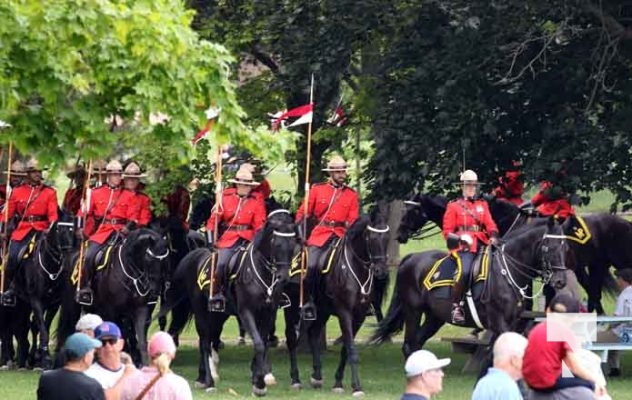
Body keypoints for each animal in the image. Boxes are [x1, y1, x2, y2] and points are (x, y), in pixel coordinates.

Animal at [57, 228, 169, 362]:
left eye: (165, 259)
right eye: (149, 257)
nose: (155, 289)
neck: (130, 274)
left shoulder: (141, 310)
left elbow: (141, 341)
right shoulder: (113, 312)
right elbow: (121, 339)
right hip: (73, 306)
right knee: (67, 329)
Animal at [164, 209, 300, 394]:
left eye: (292, 245)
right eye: (277, 245)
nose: (283, 277)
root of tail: (198, 254)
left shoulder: (268, 312)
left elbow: (263, 342)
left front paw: (259, 377)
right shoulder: (246, 312)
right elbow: (258, 343)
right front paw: (259, 383)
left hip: (217, 314)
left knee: (208, 339)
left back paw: (202, 377)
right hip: (200, 310)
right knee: (204, 341)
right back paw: (209, 381)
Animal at [372, 219, 572, 360]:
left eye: (566, 248)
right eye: (549, 247)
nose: (560, 281)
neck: (507, 271)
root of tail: (411, 257)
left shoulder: (515, 323)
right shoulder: (499, 322)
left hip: (434, 318)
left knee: (417, 344)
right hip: (413, 311)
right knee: (408, 346)